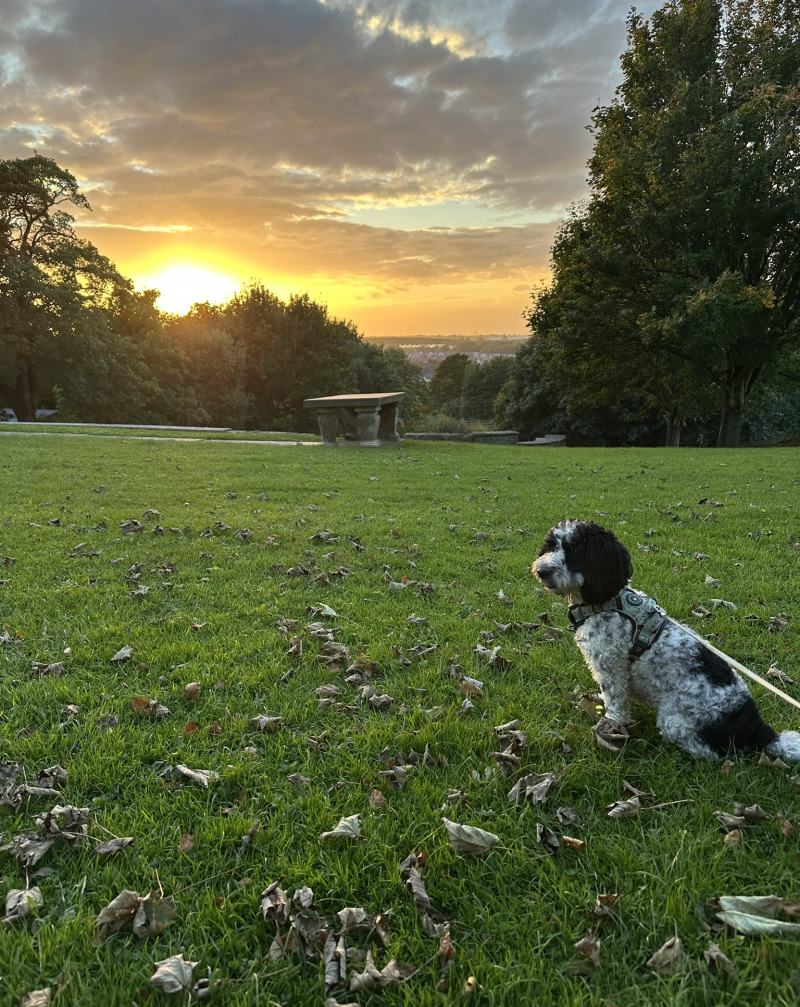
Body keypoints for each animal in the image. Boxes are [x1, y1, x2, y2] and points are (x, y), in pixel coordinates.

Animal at [527, 523, 797, 757]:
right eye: (552, 545)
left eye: (574, 552)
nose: (542, 570)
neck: (606, 602)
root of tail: (758, 727)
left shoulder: (612, 668)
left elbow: (616, 703)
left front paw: (610, 725)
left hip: (675, 721)